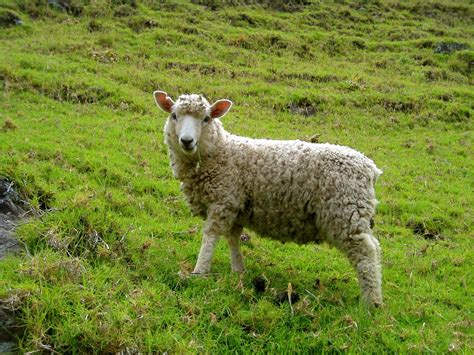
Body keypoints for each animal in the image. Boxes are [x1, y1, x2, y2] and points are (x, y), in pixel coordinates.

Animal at [154, 90, 384, 308]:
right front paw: (238, 270)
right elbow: (233, 238)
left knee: (366, 253)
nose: (187, 141)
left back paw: (371, 302)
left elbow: (210, 237)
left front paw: (199, 271)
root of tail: (370, 168)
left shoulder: (223, 200)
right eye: (174, 116)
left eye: (206, 118)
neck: (221, 152)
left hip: (346, 212)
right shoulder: (235, 206)